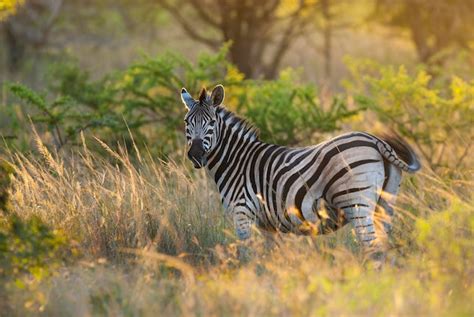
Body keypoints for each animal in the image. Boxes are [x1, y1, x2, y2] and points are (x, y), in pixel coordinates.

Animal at [180, 84, 420, 254]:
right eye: (186, 122)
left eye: (211, 123)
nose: (196, 154)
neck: (236, 161)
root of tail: (375, 141)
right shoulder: (269, 225)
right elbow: (269, 260)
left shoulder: (242, 215)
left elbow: (247, 256)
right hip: (385, 204)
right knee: (384, 248)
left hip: (357, 203)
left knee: (373, 248)